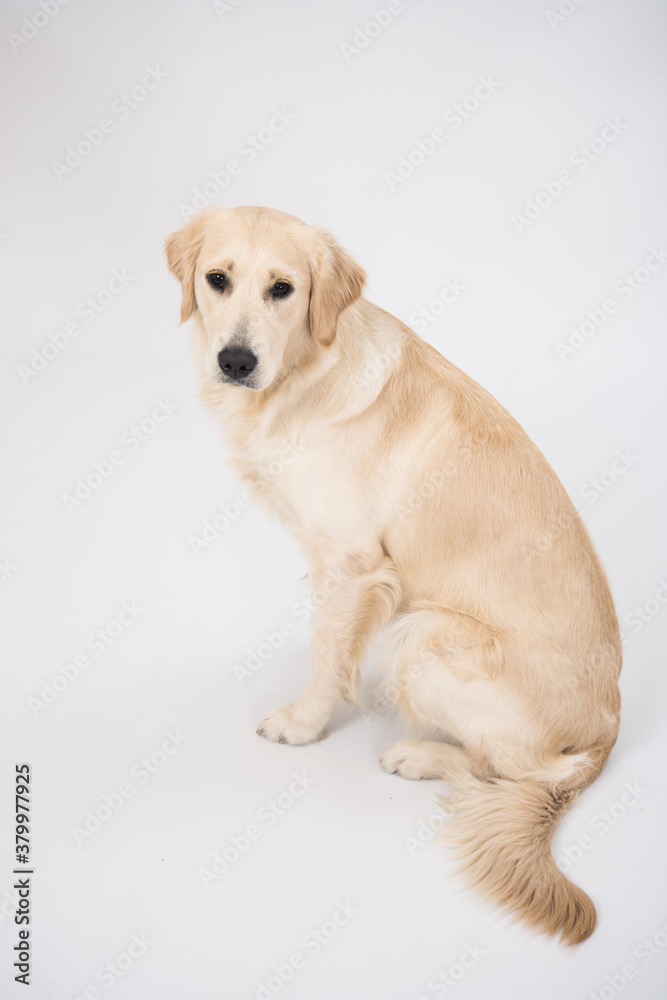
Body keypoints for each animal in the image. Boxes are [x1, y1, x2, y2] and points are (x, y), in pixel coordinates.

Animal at [166, 205, 620, 944]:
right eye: (217, 279)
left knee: (514, 773)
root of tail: (609, 726)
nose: (235, 361)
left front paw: (302, 725)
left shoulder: (350, 561)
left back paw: (418, 757)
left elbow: (325, 655)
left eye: (283, 289)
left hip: (426, 638)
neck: (306, 372)